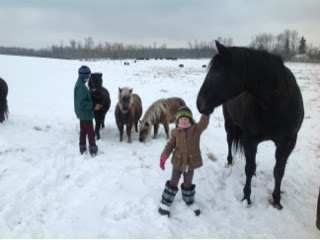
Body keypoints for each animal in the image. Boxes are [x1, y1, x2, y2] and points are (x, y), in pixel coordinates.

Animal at [196, 41, 304, 210]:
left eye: (217, 74)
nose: (199, 104)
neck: (277, 104)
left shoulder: (287, 142)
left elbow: (278, 171)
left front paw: (277, 201)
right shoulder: (250, 139)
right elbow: (249, 167)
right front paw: (246, 197)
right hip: (229, 124)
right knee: (230, 141)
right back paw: (229, 162)